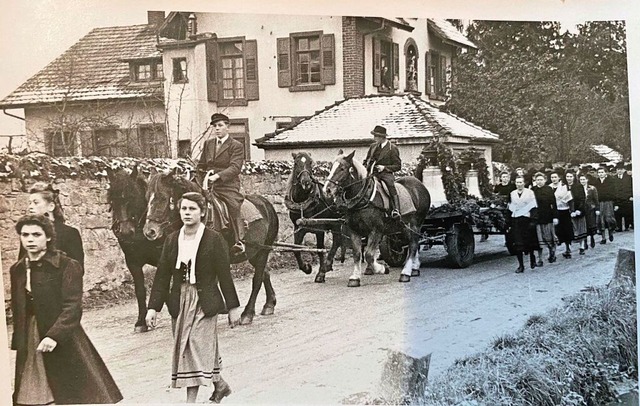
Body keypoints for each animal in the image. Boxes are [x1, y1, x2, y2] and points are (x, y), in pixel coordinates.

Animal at [144, 170, 278, 326]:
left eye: (163, 198)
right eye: (147, 197)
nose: (149, 231)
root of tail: (265, 203)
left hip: (263, 250)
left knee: (257, 279)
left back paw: (248, 313)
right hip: (254, 252)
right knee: (264, 273)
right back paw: (269, 304)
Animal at [286, 152, 342, 282]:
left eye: (311, 162)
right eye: (296, 163)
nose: (306, 182)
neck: (303, 203)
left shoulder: (319, 228)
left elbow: (320, 249)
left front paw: (321, 273)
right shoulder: (298, 228)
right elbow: (296, 249)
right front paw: (306, 268)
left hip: (336, 223)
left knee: (337, 242)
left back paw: (327, 265)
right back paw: (328, 265)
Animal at [324, 151, 430, 288]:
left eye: (342, 168)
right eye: (331, 167)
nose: (327, 189)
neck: (365, 198)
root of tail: (420, 184)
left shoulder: (376, 230)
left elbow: (369, 255)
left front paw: (382, 268)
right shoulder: (354, 230)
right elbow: (357, 254)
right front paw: (355, 277)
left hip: (415, 224)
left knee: (413, 245)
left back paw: (405, 273)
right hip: (404, 227)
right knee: (413, 243)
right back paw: (415, 268)